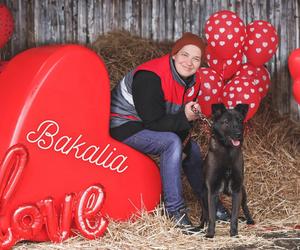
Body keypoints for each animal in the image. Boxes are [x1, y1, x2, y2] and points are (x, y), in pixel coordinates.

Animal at [200, 102, 254, 237]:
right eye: (226, 122)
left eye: (240, 120)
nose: (239, 134)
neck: (227, 151)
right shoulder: (212, 190)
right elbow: (212, 216)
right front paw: (210, 234)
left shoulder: (236, 190)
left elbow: (234, 217)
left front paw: (234, 234)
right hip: (203, 194)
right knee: (205, 212)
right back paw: (201, 225)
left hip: (243, 191)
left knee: (245, 206)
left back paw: (250, 220)